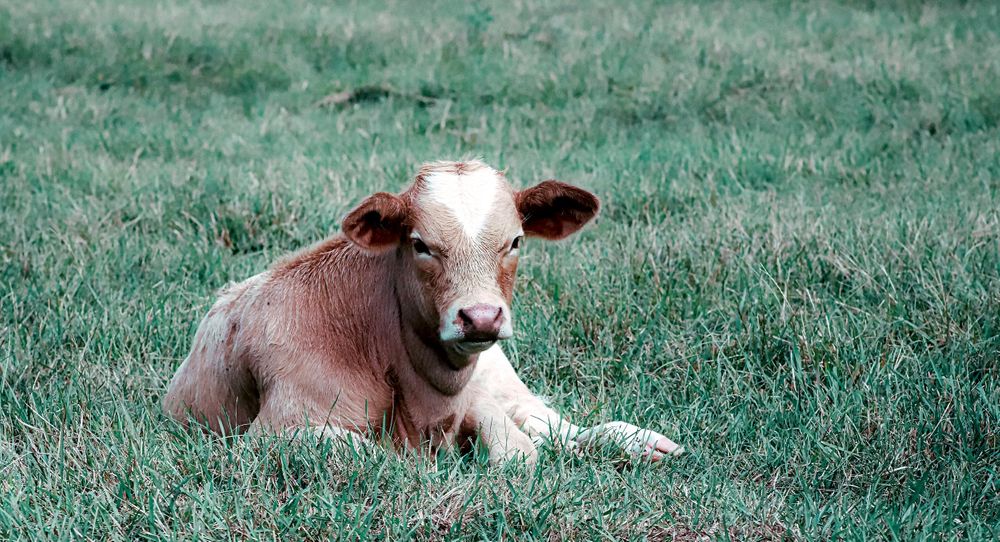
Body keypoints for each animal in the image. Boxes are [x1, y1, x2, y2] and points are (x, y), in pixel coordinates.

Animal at [163, 160, 683, 464]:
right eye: (420, 245)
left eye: (515, 241)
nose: (481, 317)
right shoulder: (272, 431)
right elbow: (368, 450)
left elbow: (514, 443)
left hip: (503, 373)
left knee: (552, 422)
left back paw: (638, 442)